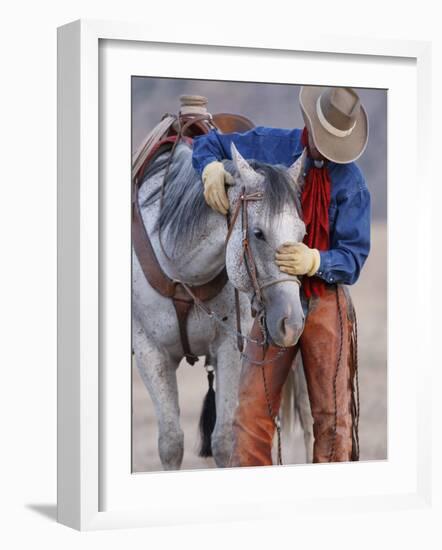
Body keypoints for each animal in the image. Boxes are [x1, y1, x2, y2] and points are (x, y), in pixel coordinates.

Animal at [133, 141, 312, 470]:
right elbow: (171, 443)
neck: (182, 271)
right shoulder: (150, 352)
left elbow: (224, 440)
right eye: (258, 233)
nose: (292, 324)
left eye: (302, 234)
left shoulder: (230, 347)